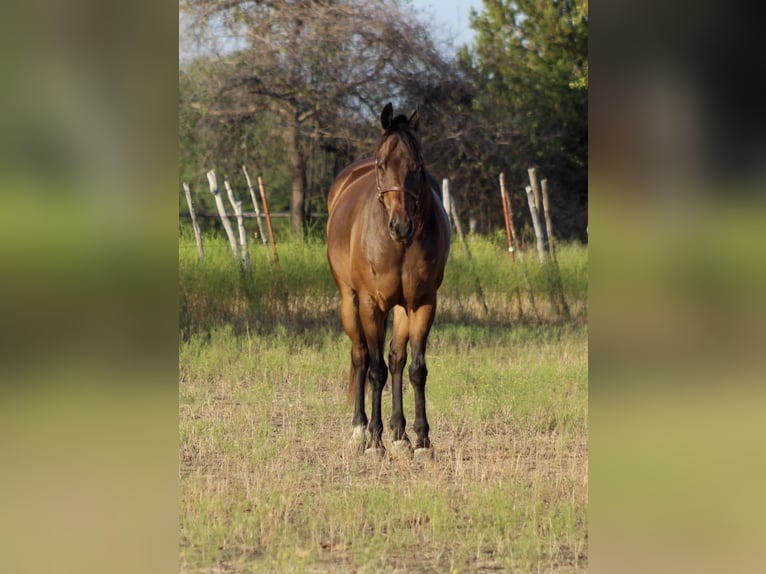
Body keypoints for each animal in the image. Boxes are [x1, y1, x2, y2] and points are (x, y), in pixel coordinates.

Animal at [328, 101, 452, 456]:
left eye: (417, 165)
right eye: (382, 164)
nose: (401, 226)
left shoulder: (422, 304)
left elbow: (415, 368)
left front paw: (422, 439)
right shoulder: (371, 305)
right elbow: (374, 371)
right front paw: (375, 440)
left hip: (400, 308)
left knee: (396, 359)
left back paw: (400, 434)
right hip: (350, 301)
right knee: (360, 356)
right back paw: (360, 430)